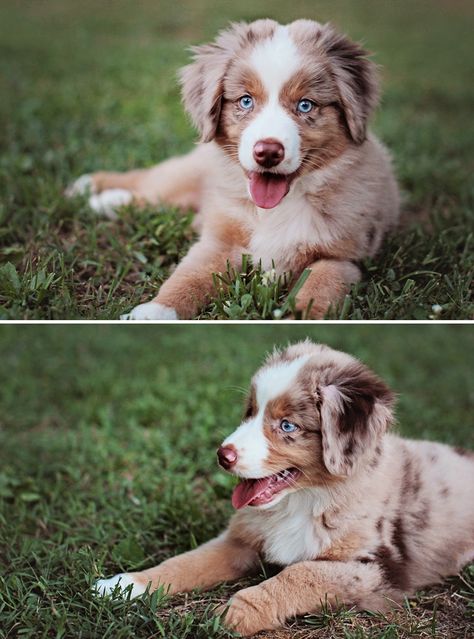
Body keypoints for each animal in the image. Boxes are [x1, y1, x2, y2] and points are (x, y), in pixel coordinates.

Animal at [67, 19, 400, 320]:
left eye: (305, 105)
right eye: (246, 101)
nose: (268, 152)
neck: (277, 208)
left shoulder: (343, 258)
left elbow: (320, 289)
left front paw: (297, 316)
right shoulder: (220, 241)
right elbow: (189, 275)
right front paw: (156, 311)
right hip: (186, 174)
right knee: (150, 183)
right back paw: (92, 189)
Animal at [94, 340, 472, 636]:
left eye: (287, 425)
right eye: (250, 412)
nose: (222, 455)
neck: (303, 501)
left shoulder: (372, 567)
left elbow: (299, 574)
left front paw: (231, 614)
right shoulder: (240, 541)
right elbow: (186, 561)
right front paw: (124, 585)